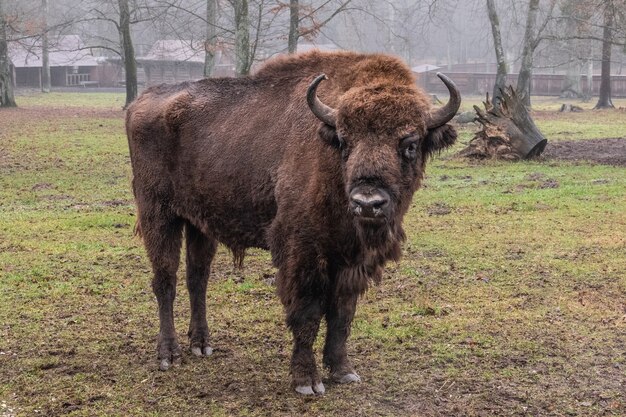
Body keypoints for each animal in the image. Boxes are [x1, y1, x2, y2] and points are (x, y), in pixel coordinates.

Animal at [125, 50, 458, 394]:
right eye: (344, 141)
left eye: (410, 144)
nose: (367, 202)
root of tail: (141, 102)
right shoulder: (303, 253)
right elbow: (307, 313)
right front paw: (307, 381)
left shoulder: (350, 260)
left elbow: (341, 315)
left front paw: (343, 371)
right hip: (158, 215)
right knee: (165, 280)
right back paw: (169, 354)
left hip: (199, 224)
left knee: (197, 279)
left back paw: (201, 344)